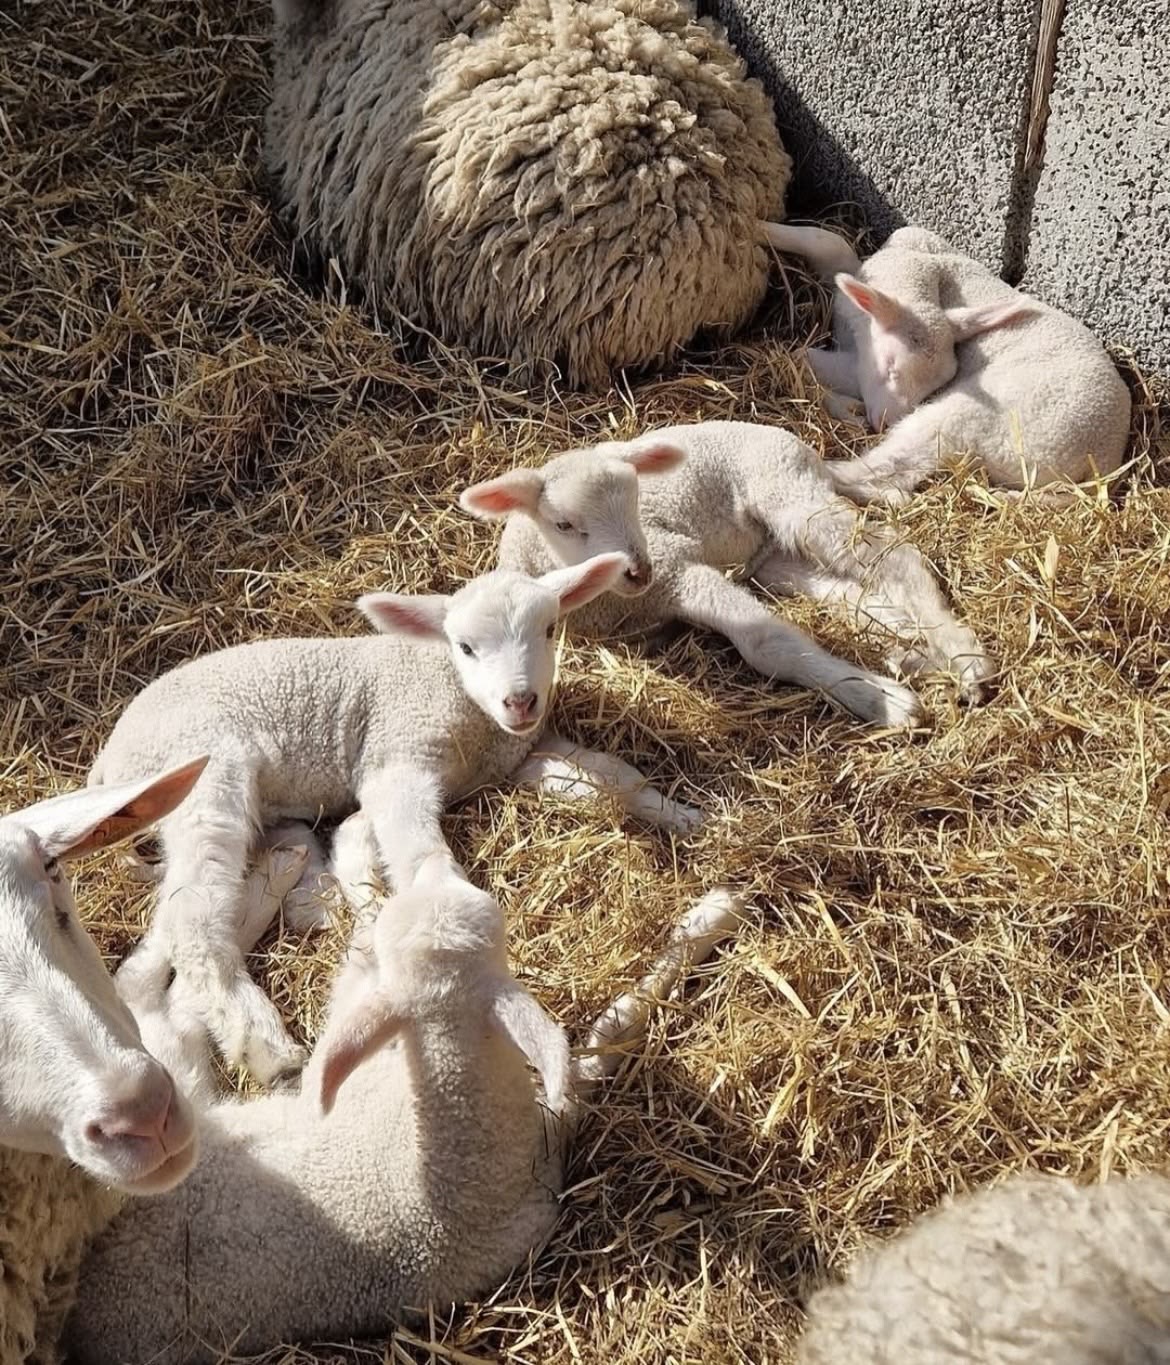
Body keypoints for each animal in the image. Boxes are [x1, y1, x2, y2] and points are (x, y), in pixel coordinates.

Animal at [90, 554, 701, 1091]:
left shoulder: (515, 755)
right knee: (193, 921)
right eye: (465, 647)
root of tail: (109, 760)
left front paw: (690, 818)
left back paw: (310, 890)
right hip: (202, 779)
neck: (458, 698)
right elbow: (417, 853)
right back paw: (267, 1048)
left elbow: (614, 777)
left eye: (551, 628)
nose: (521, 700)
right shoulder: (398, 755)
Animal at [459, 419, 993, 711]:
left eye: (635, 498)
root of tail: (810, 452)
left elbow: (766, 642)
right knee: (859, 596)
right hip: (774, 558)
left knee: (894, 557)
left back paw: (964, 656)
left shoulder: (676, 564)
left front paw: (882, 701)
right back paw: (919, 653)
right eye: (564, 524)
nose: (638, 570)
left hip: (788, 492)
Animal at [764, 223, 1132, 503]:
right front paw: (768, 229)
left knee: (881, 470)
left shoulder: (858, 366)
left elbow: (799, 356)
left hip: (980, 421)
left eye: (934, 385)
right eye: (891, 367)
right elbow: (831, 245)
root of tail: (1106, 459)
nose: (882, 423)